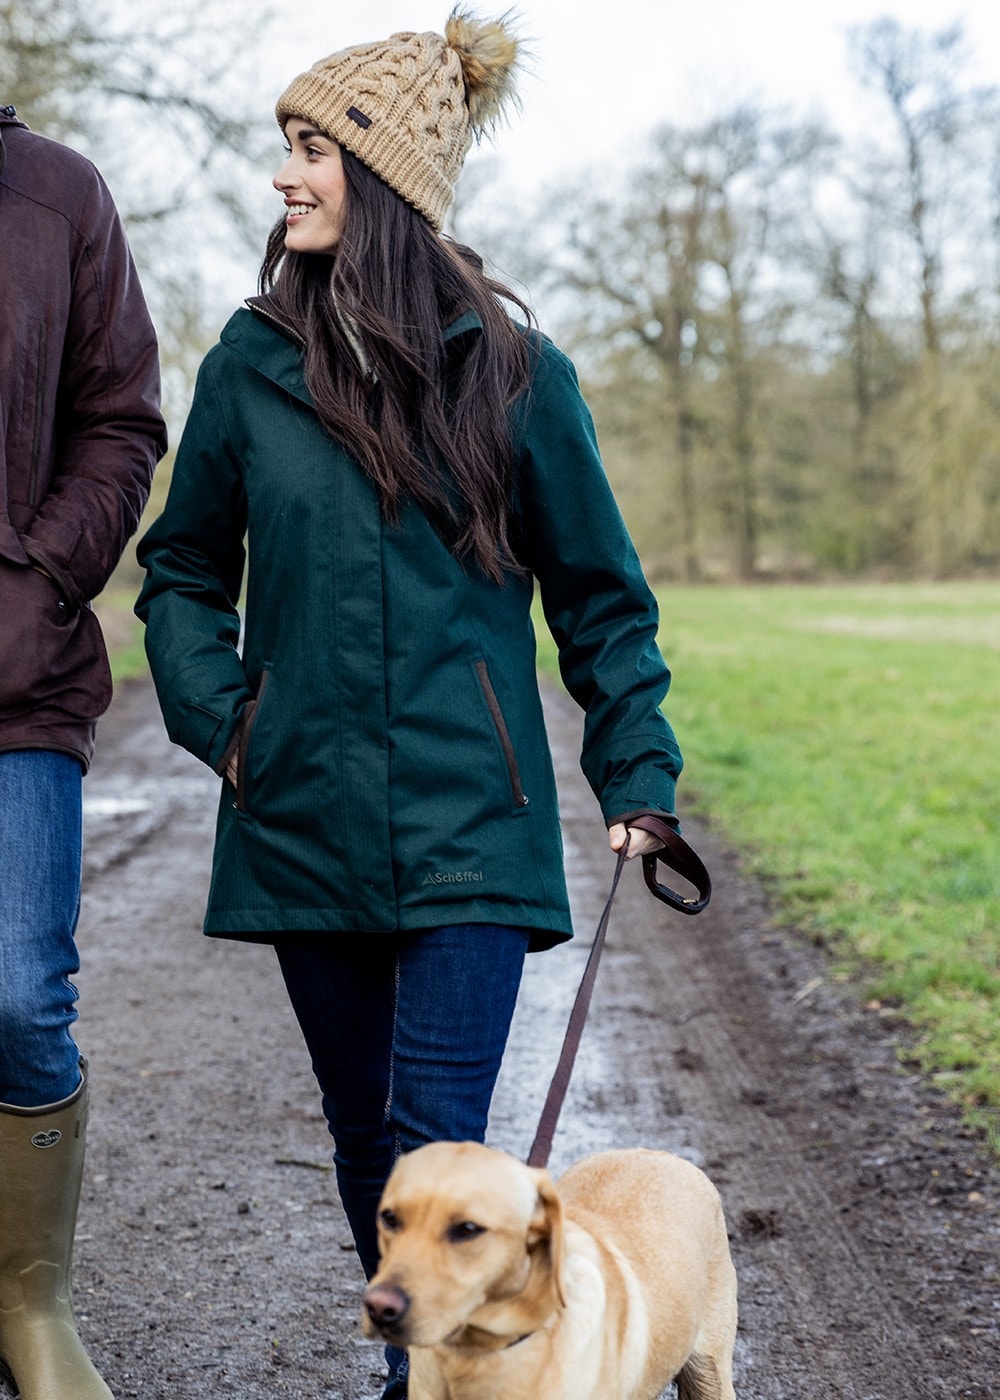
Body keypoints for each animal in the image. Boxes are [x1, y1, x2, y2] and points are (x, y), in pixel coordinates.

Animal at [361, 1142, 733, 1394]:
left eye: (467, 1229)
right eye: (389, 1218)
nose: (379, 1307)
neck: (478, 1353)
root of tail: (661, 1153)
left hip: (710, 1375)